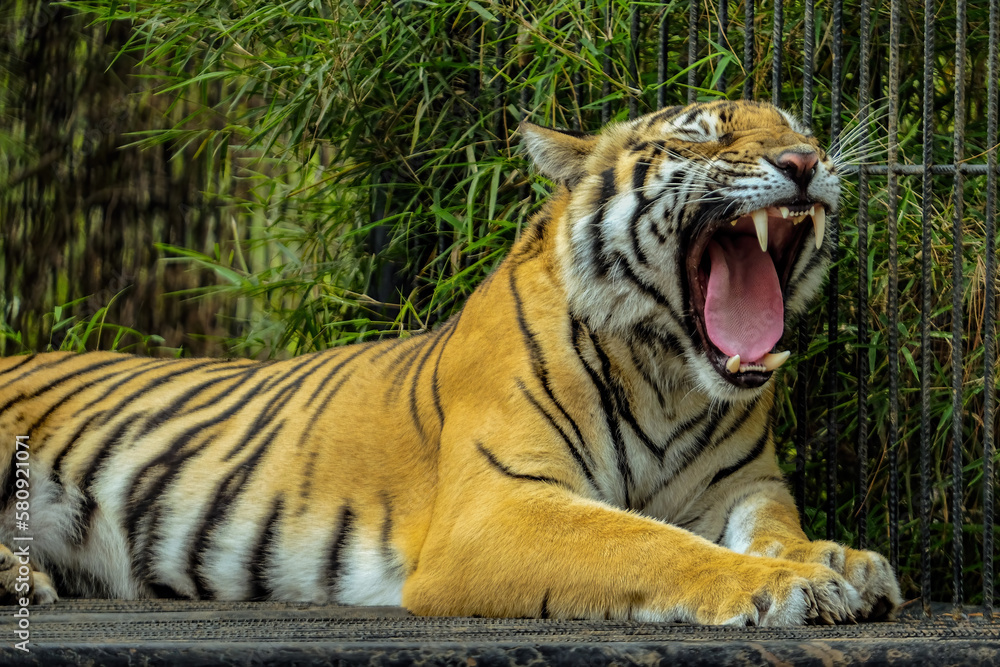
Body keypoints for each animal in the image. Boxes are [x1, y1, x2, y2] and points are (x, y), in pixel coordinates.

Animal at [0, 100, 902, 626]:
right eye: (701, 132)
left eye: (801, 128)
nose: (805, 161)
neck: (669, 375)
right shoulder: (498, 505)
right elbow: (650, 542)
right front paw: (790, 585)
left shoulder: (744, 486)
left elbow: (774, 528)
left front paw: (839, 560)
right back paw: (20, 580)